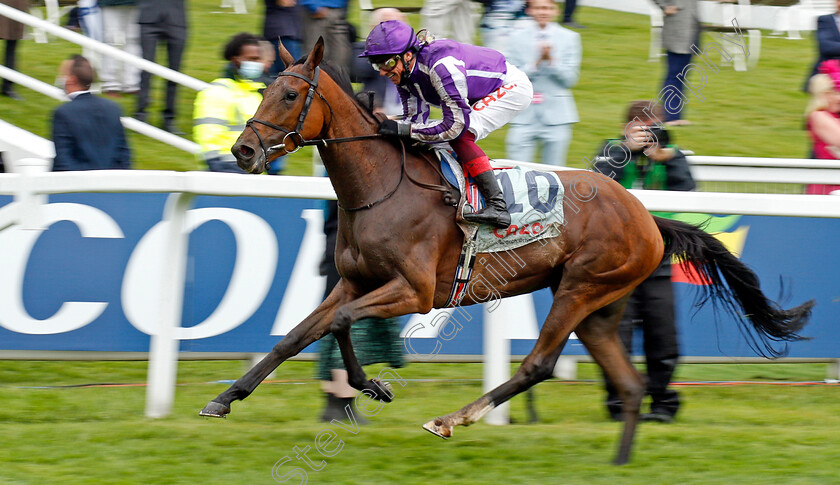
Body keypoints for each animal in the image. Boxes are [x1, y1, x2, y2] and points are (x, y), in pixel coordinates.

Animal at [199, 37, 812, 462]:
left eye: (290, 93)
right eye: (262, 90)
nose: (243, 150)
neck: (380, 187)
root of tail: (648, 217)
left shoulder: (414, 292)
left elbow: (343, 322)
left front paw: (372, 385)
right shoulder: (355, 280)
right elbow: (299, 335)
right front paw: (225, 399)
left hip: (580, 287)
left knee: (540, 363)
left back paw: (451, 418)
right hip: (602, 307)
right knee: (631, 386)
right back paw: (618, 462)